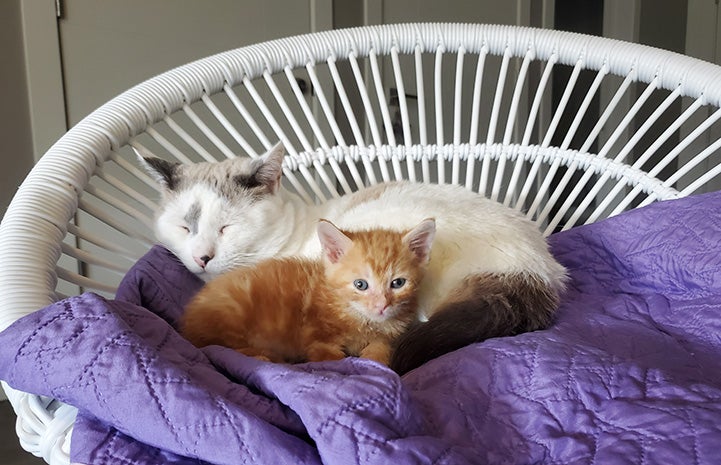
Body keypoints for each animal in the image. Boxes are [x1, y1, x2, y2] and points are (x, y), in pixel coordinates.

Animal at [183, 218, 436, 366]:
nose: (382, 306)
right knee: (222, 348)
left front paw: (375, 358)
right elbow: (334, 360)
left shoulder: (384, 335)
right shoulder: (317, 339)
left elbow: (381, 349)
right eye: (361, 285)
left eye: (398, 283)